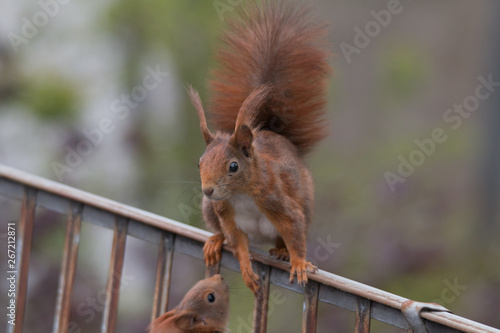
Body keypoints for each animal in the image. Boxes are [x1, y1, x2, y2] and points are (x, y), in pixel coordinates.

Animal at [189, 0, 330, 292]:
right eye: (199, 163)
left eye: (233, 166)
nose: (208, 190)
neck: (240, 195)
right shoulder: (226, 215)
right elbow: (238, 244)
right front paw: (246, 269)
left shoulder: (279, 202)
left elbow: (295, 232)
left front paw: (300, 263)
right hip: (210, 210)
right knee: (223, 234)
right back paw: (215, 241)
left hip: (305, 202)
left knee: (284, 236)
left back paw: (281, 252)